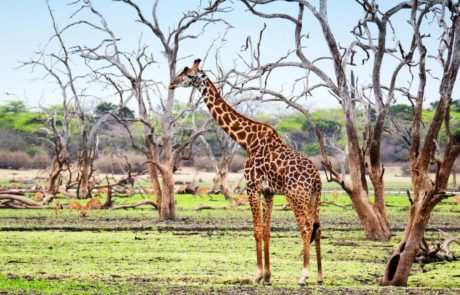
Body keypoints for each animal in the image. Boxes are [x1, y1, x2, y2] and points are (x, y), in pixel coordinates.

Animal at [169, 58, 324, 286]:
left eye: (188, 75)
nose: (171, 84)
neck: (248, 141)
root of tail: (316, 179)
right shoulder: (268, 191)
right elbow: (266, 230)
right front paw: (267, 277)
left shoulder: (252, 186)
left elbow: (256, 230)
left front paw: (257, 275)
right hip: (314, 197)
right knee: (317, 227)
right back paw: (320, 277)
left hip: (296, 195)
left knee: (305, 226)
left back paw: (303, 276)